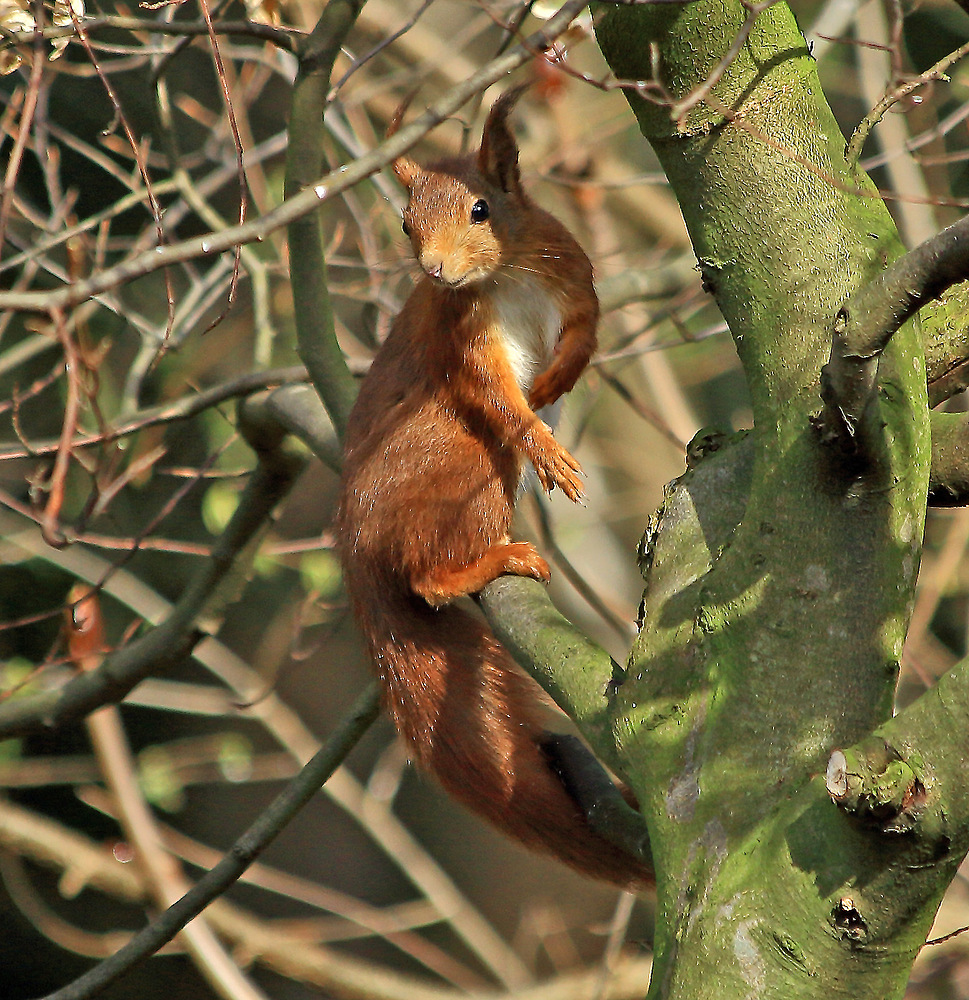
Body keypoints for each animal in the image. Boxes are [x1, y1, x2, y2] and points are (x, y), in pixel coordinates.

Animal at [340, 90, 652, 888]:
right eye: (406, 222)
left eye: (481, 209)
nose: (435, 269)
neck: (501, 279)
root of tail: (355, 547)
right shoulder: (464, 336)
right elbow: (495, 396)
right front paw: (540, 439)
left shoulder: (574, 278)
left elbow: (585, 336)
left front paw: (552, 389)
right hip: (466, 468)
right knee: (426, 577)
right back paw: (488, 561)